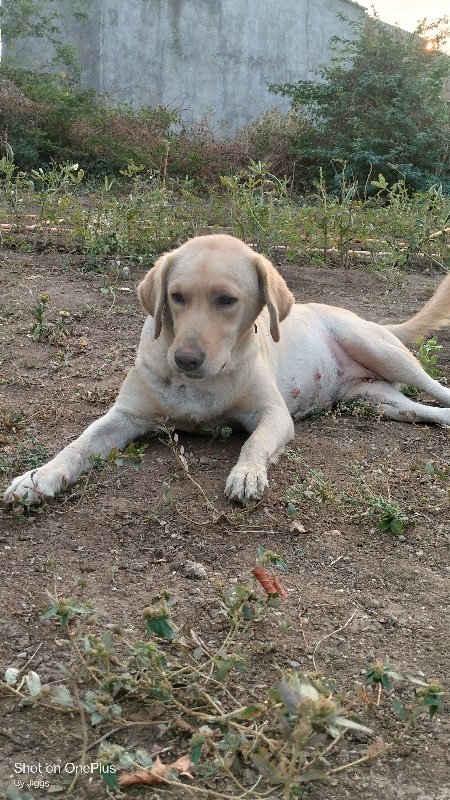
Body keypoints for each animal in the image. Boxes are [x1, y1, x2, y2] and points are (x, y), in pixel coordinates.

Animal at [3, 233, 450, 506]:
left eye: (227, 300)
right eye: (177, 296)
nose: (185, 359)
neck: (200, 384)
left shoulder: (273, 414)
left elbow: (254, 443)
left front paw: (247, 474)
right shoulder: (125, 417)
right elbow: (77, 444)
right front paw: (39, 477)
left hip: (377, 348)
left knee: (437, 389)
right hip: (380, 401)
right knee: (423, 411)